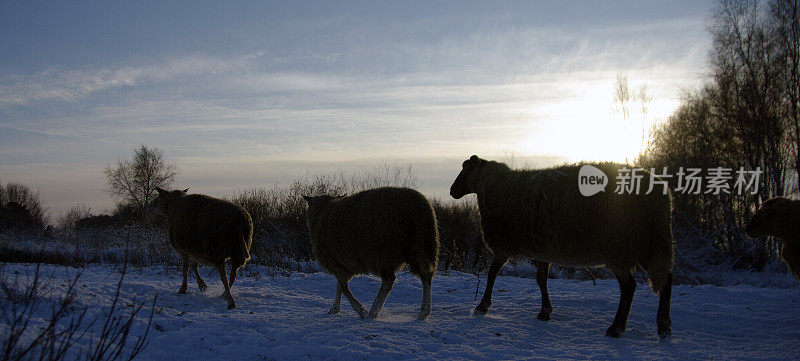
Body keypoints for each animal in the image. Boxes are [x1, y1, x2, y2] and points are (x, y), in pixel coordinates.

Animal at [304, 187, 440, 320]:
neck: (320, 214)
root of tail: (418, 206)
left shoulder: (336, 263)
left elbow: (344, 288)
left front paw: (360, 310)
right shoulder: (342, 264)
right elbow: (339, 287)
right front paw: (335, 308)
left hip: (383, 253)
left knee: (389, 281)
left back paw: (373, 311)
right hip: (421, 247)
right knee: (426, 276)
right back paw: (424, 312)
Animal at [450, 155, 676, 338]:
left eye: (466, 168)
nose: (452, 191)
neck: (493, 186)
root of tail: (661, 196)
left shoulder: (503, 247)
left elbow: (491, 274)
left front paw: (483, 306)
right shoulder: (541, 249)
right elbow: (541, 280)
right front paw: (545, 312)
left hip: (620, 247)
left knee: (629, 287)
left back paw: (617, 328)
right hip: (650, 245)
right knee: (666, 279)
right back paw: (664, 326)